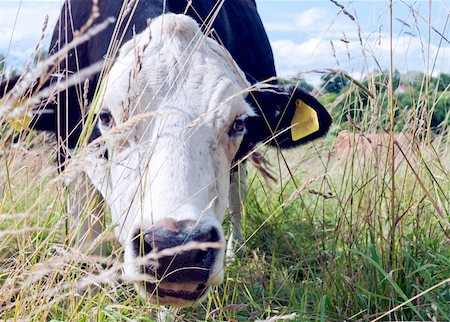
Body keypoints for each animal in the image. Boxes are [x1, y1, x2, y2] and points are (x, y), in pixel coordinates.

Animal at [0, 0, 330, 306]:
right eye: (104, 116)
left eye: (238, 122)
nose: (178, 248)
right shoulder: (68, 148)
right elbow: (86, 235)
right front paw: (87, 291)